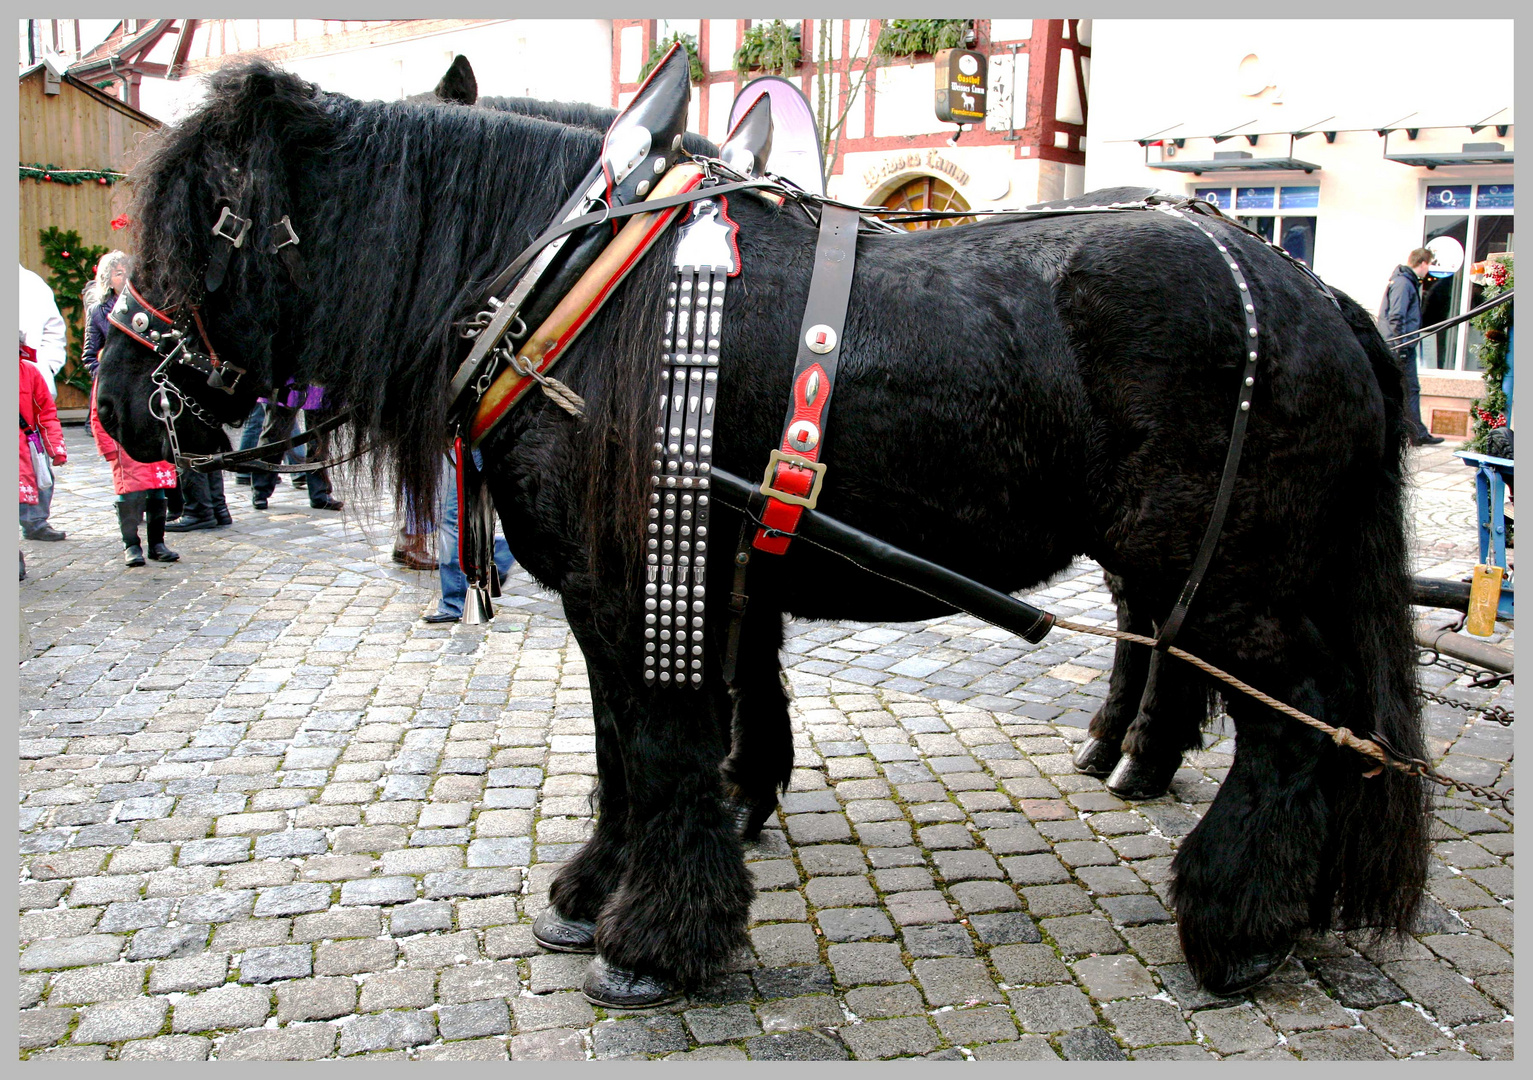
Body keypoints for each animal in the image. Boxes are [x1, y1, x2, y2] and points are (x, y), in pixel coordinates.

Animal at [95, 63, 1428, 992]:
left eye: (210, 218)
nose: (112, 399)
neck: (575, 283)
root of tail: (1315, 292)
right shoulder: (623, 588)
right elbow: (622, 747)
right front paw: (596, 885)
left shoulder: (646, 581)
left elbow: (665, 745)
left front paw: (655, 939)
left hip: (1235, 581)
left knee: (1298, 723)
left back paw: (1236, 918)